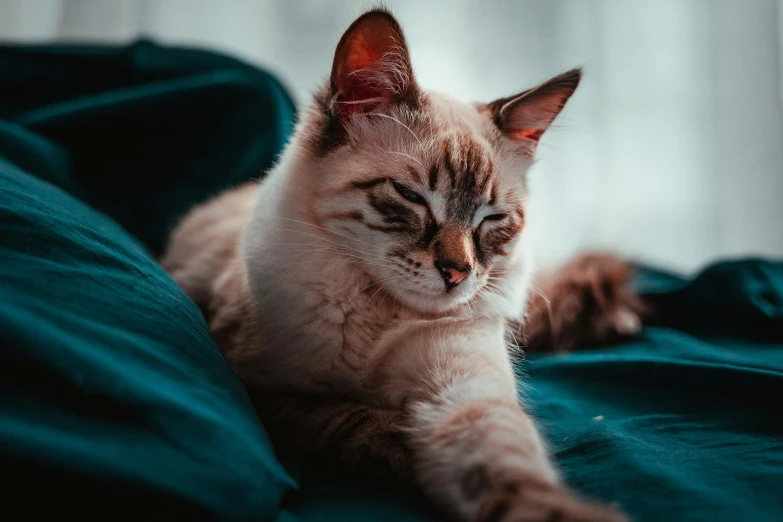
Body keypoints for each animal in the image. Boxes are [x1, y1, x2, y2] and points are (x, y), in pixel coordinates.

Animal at [164, 9, 644, 520]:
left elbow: (508, 470)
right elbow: (338, 415)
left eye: (492, 219)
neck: (374, 309)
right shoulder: (259, 387)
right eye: (412, 197)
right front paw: (400, 446)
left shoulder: (464, 387)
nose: (457, 273)